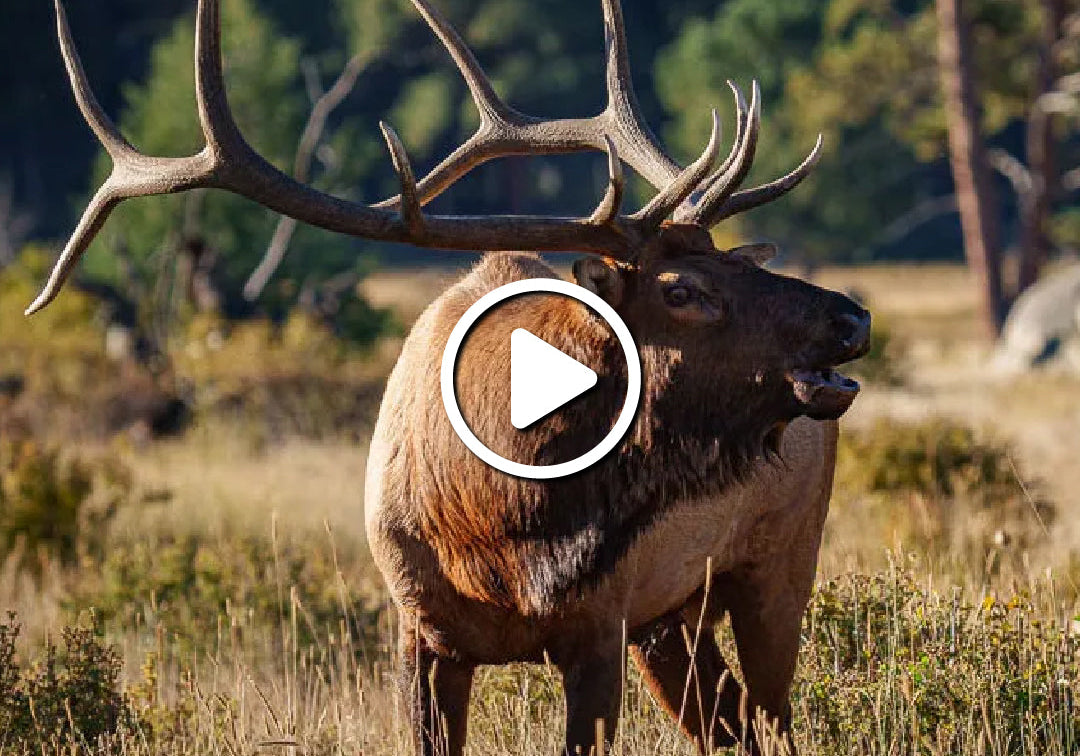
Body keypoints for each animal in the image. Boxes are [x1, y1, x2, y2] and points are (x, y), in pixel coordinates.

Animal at [38, 0, 872, 751]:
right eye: (681, 290)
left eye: (733, 261)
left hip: (778, 563)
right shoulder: (420, 631)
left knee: (770, 716)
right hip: (672, 616)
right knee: (731, 722)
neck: (503, 530)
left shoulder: (600, 626)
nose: (852, 318)